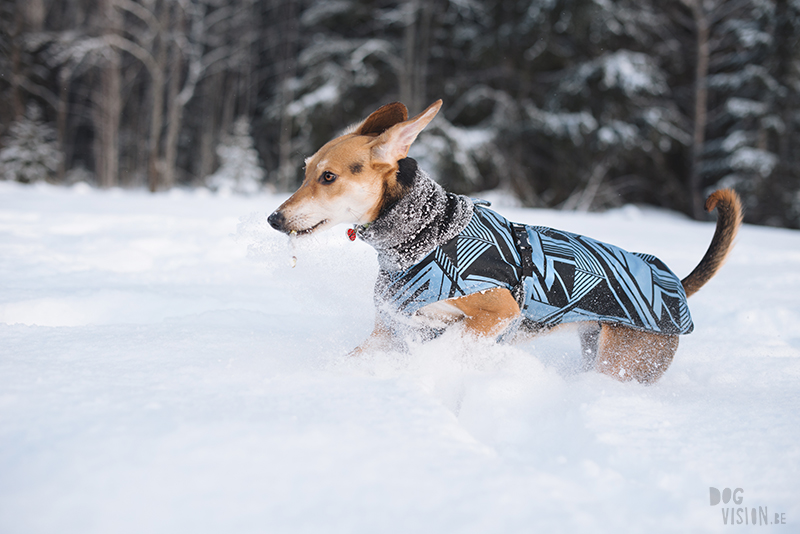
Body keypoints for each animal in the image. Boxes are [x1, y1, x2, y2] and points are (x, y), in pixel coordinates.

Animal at [270, 100, 744, 386]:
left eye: (328, 177)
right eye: (306, 170)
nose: (274, 218)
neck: (425, 233)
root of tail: (677, 285)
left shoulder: (496, 313)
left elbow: (449, 344)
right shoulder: (389, 330)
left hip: (622, 366)